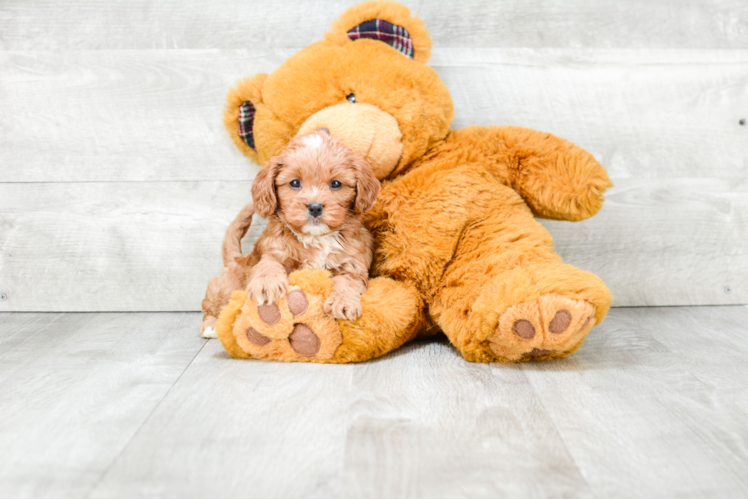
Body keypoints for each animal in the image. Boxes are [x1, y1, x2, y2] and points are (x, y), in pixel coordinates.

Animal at [200, 130, 380, 340]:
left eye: (336, 184)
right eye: (295, 183)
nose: (315, 207)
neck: (316, 238)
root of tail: (236, 258)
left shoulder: (353, 263)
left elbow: (348, 282)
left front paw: (343, 302)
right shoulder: (274, 250)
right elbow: (268, 265)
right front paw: (266, 284)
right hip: (225, 288)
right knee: (211, 304)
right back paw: (210, 325)